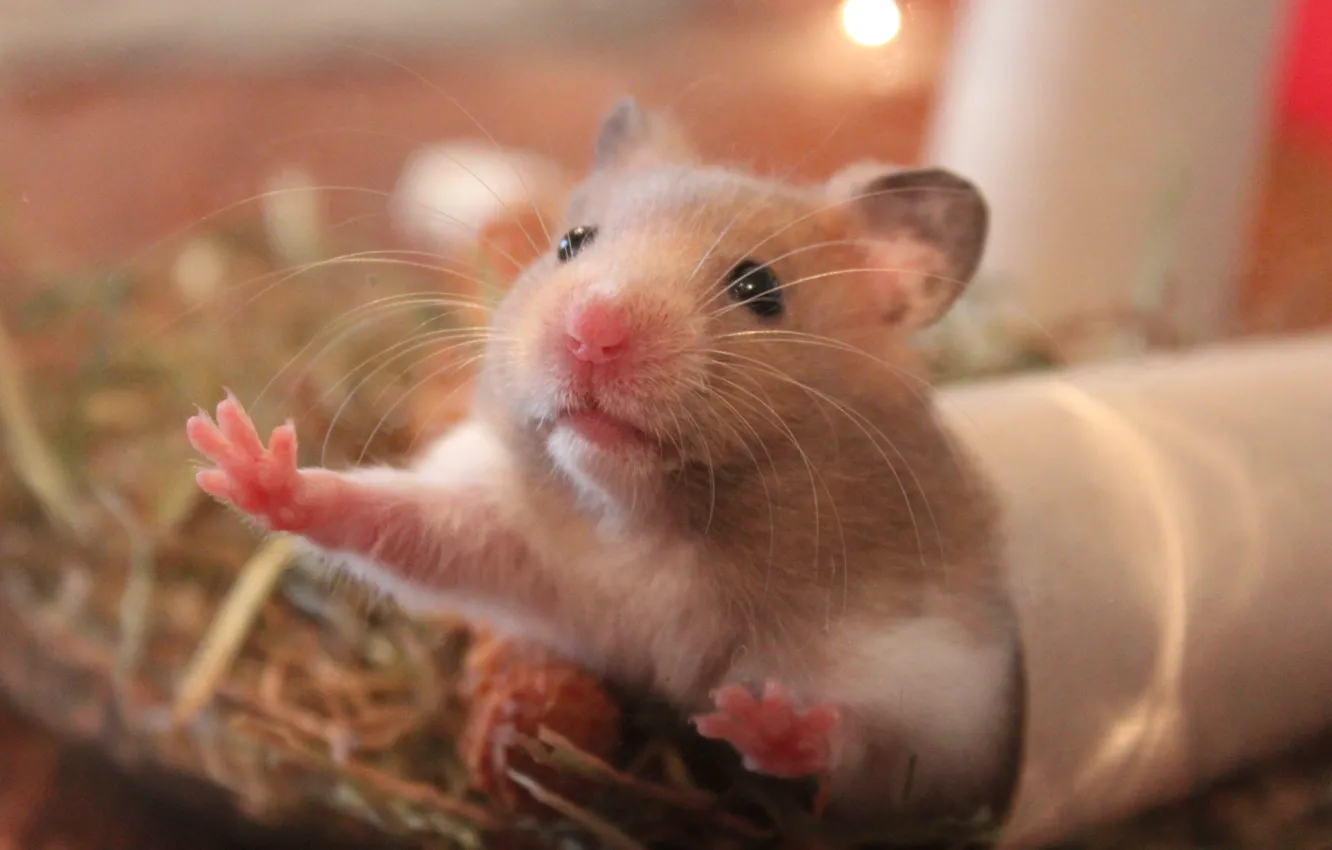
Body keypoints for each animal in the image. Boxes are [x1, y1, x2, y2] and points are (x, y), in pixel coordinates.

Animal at [185, 97, 1023, 829]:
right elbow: (394, 520)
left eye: (760, 288)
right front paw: (242, 458)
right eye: (572, 242)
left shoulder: (939, 678)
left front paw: (761, 719)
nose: (592, 329)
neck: (649, 522)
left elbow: (874, 741)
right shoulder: (516, 541)